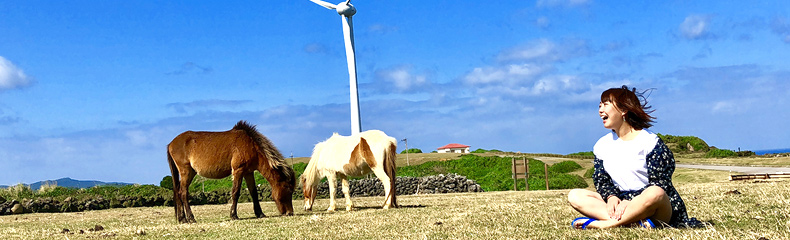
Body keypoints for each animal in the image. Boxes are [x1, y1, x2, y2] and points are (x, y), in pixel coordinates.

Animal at [166, 121, 296, 224]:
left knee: (178, 192)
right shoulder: (238, 170)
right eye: (288, 189)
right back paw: (191, 218)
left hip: (190, 173)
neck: (251, 145)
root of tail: (171, 143)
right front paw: (233, 215)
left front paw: (260, 213)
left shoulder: (248, 172)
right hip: (186, 172)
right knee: (183, 193)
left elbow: (254, 193)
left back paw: (182, 218)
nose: (290, 212)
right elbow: (235, 192)